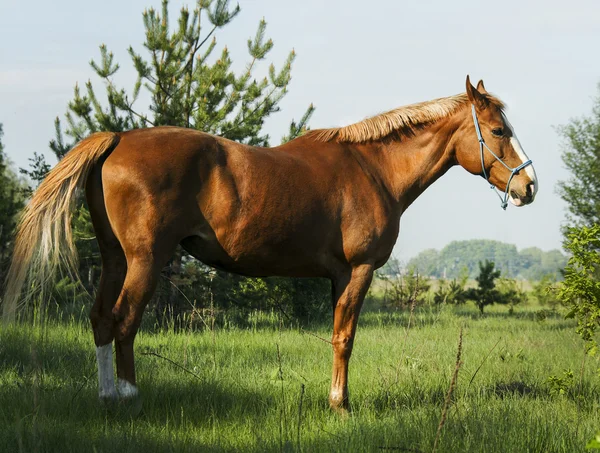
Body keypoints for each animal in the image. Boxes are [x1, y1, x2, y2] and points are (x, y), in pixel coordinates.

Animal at [1, 77, 540, 410]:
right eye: (498, 130)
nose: (529, 186)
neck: (373, 169)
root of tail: (118, 138)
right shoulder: (359, 271)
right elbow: (346, 337)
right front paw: (340, 405)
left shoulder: (337, 277)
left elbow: (337, 336)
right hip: (145, 261)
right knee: (124, 321)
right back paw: (128, 399)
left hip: (115, 258)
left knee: (99, 319)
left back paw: (107, 396)